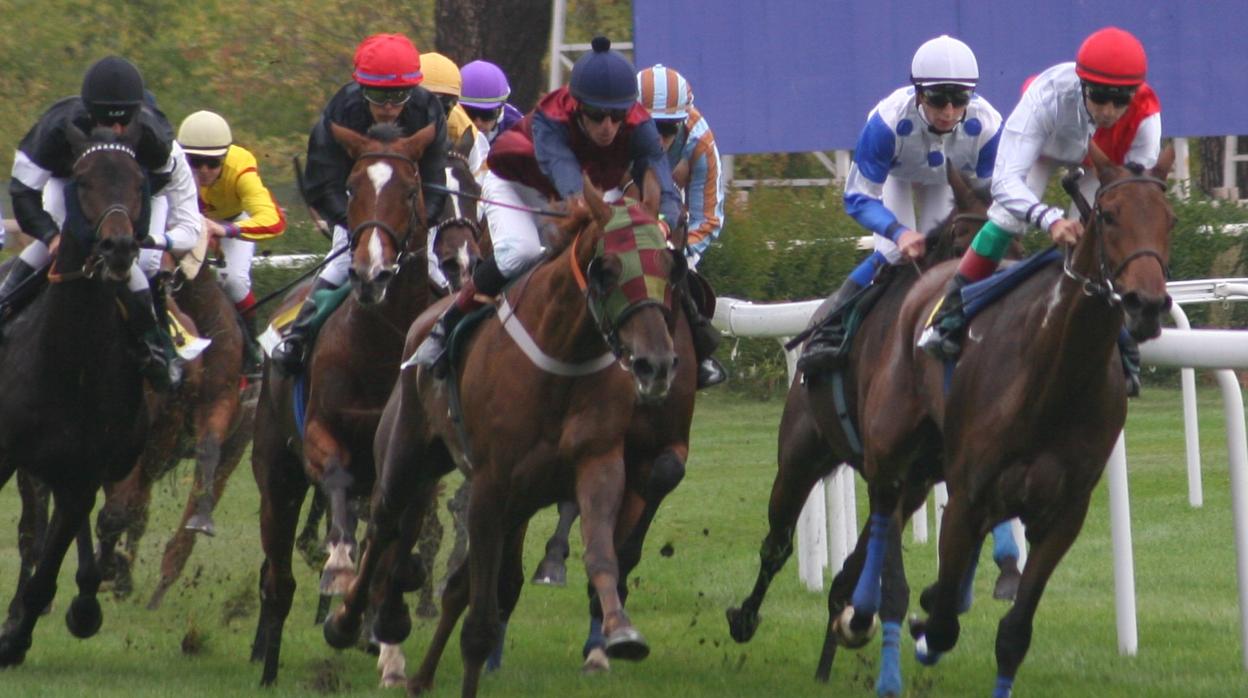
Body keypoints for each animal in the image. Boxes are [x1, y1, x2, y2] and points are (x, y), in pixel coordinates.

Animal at [0, 128, 148, 669]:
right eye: (82, 180)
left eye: (140, 181)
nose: (118, 245)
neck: (69, 361)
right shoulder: (6, 454)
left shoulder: (85, 469)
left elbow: (48, 571)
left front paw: (15, 639)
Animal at [245, 121, 436, 689]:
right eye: (351, 190)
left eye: (411, 191)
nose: (371, 274)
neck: (380, 342)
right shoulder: (318, 436)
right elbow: (334, 476)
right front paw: (339, 565)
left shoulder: (415, 472)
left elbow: (393, 553)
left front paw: (387, 638)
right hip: (276, 476)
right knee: (278, 580)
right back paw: (268, 666)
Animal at [321, 174, 688, 698]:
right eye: (607, 270)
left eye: (669, 266)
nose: (655, 365)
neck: (565, 357)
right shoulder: (490, 486)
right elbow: (478, 626)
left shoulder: (597, 463)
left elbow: (600, 553)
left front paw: (619, 632)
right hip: (407, 454)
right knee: (385, 525)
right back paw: (350, 622)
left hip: (518, 500)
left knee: (452, 580)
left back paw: (415, 668)